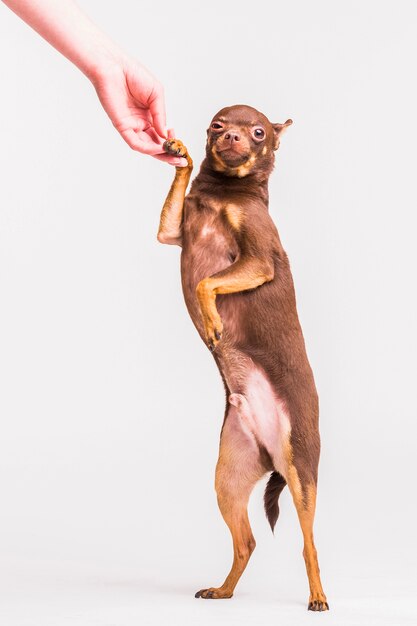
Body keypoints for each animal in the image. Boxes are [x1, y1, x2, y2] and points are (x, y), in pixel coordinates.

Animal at [156, 103, 328, 608]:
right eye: (217, 125)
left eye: (257, 133)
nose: (231, 137)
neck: (225, 193)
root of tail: (272, 455)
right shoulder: (169, 233)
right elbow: (181, 190)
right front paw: (181, 155)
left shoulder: (259, 260)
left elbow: (204, 282)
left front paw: (213, 321)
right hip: (228, 478)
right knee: (247, 541)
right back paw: (224, 590)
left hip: (301, 471)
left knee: (308, 543)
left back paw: (317, 596)